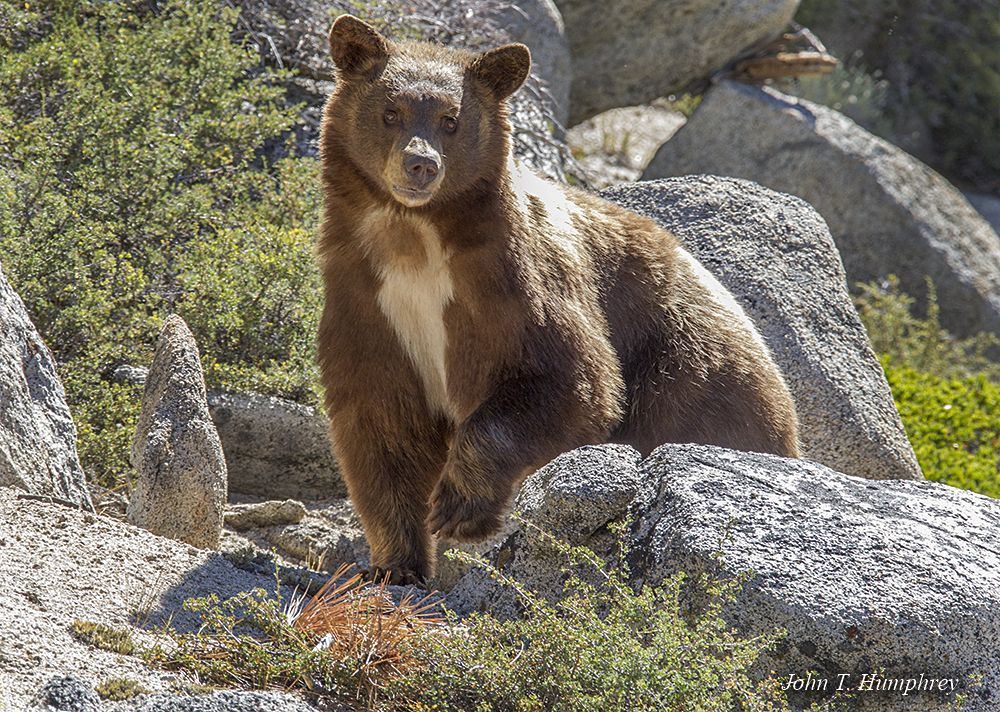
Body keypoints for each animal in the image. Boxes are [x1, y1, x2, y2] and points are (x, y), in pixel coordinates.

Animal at [316, 16, 800, 584]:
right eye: (390, 112)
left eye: (451, 120)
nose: (420, 165)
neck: (414, 239)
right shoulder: (369, 302)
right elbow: (382, 424)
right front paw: (395, 564)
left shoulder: (515, 283)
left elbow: (569, 380)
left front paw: (458, 508)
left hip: (691, 370)